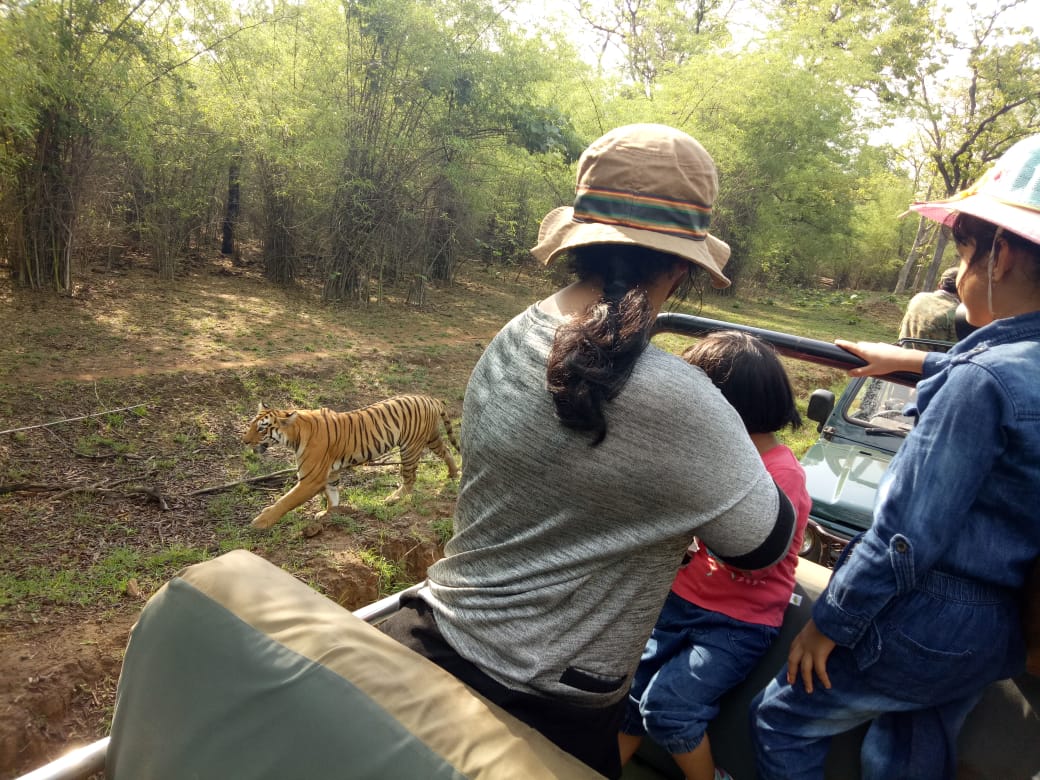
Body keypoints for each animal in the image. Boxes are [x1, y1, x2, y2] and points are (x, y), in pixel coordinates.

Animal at [242, 393, 459, 528]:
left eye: (261, 428)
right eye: (251, 425)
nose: (244, 441)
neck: (294, 434)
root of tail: (430, 398)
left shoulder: (311, 479)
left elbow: (285, 501)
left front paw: (260, 522)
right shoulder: (330, 474)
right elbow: (333, 496)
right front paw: (329, 514)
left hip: (410, 447)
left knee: (410, 478)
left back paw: (394, 498)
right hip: (431, 437)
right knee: (447, 451)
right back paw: (453, 473)